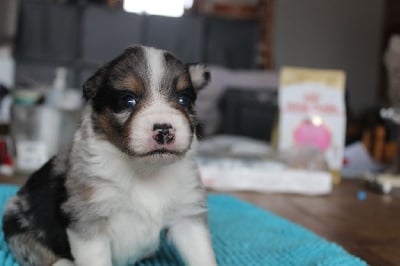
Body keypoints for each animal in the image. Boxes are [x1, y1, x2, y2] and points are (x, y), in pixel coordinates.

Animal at [2, 45, 216, 266]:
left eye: (184, 99)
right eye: (128, 100)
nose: (164, 130)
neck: (144, 169)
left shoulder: (187, 216)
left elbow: (201, 255)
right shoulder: (88, 221)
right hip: (19, 230)